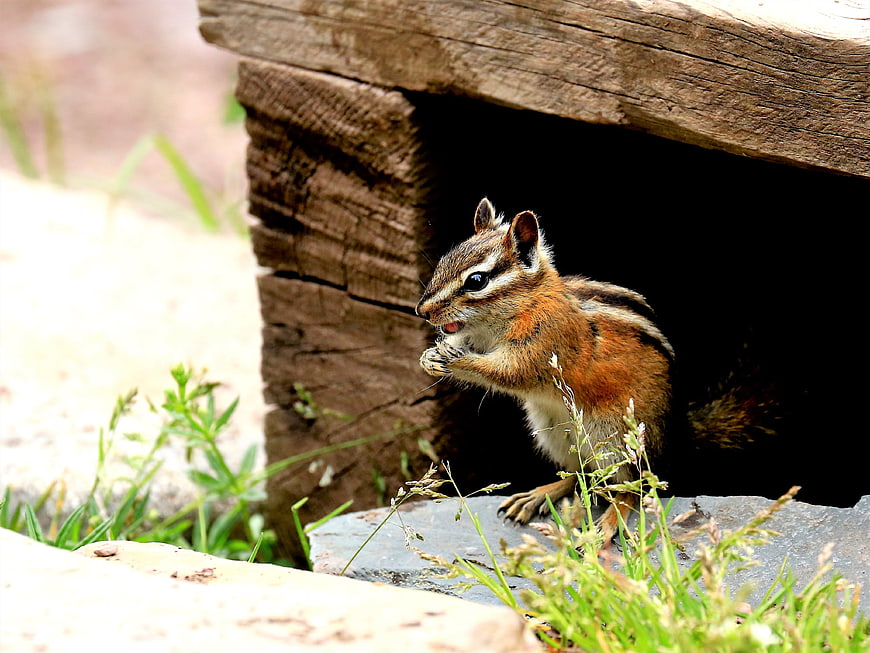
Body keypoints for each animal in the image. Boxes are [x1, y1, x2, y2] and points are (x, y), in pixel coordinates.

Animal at [416, 198, 674, 543]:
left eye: (476, 281)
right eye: (444, 261)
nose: (422, 310)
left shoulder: (542, 346)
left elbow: (508, 372)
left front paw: (455, 360)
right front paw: (429, 357)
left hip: (616, 438)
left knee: (633, 485)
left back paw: (608, 521)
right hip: (554, 431)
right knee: (580, 473)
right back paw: (538, 495)